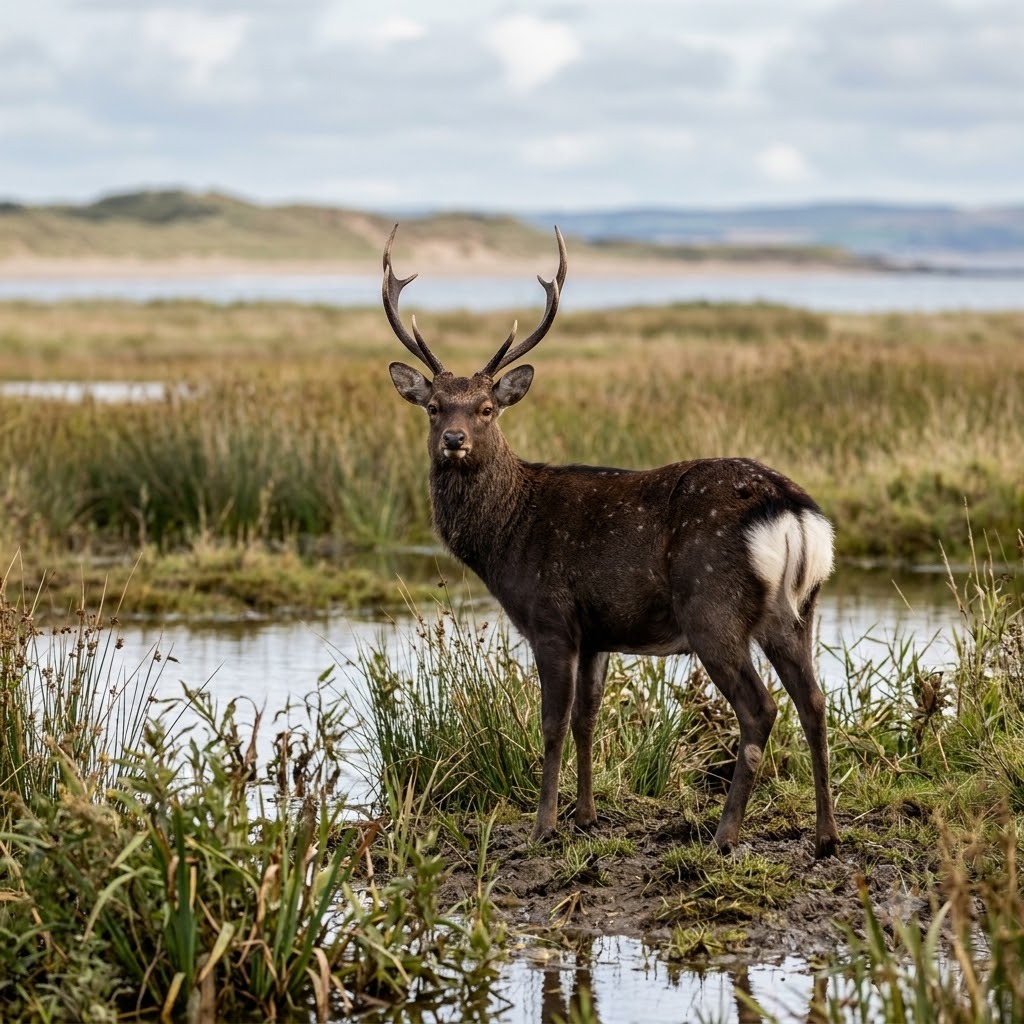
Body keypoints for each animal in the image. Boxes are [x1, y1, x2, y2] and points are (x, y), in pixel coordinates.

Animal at [383, 225, 840, 859]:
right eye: (432, 406)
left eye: (487, 408)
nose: (454, 438)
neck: (506, 538)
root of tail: (791, 510)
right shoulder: (598, 629)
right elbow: (587, 718)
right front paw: (586, 815)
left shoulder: (551, 617)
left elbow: (551, 722)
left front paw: (543, 826)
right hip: (796, 610)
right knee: (815, 702)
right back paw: (826, 837)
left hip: (712, 606)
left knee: (761, 708)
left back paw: (724, 835)